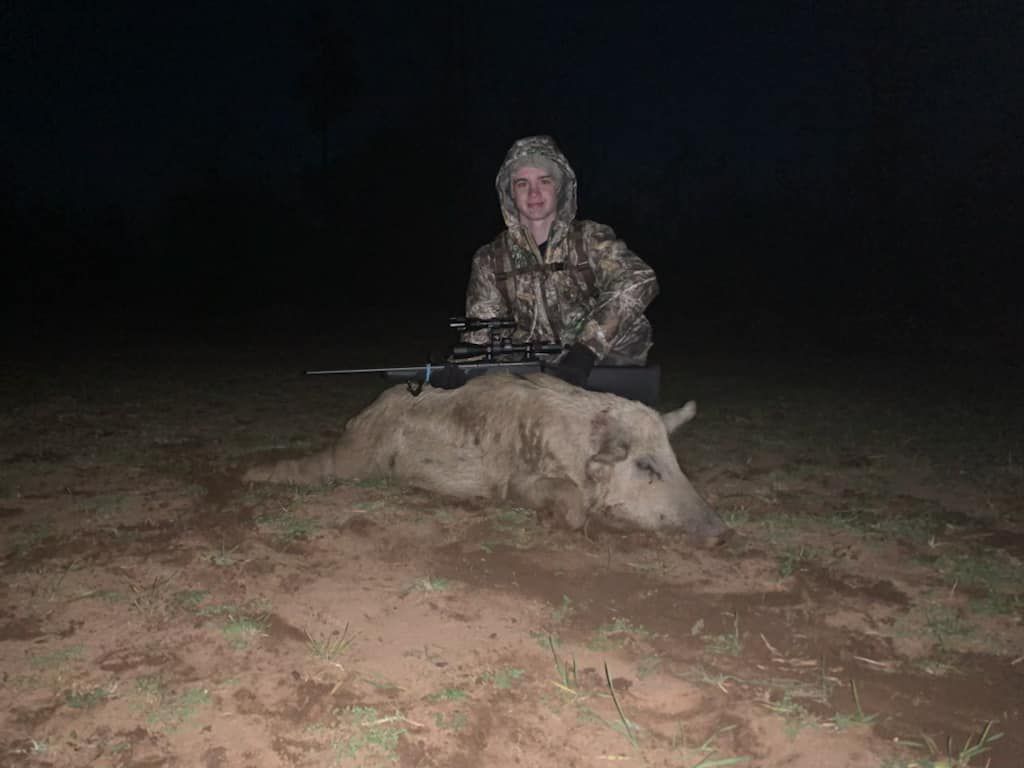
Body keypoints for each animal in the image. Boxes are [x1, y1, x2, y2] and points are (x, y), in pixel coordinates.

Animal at [244, 371, 730, 547]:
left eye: (675, 459)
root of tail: (357, 421)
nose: (722, 532)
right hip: (357, 461)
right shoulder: (518, 480)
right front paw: (557, 523)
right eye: (646, 466)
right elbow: (568, 501)